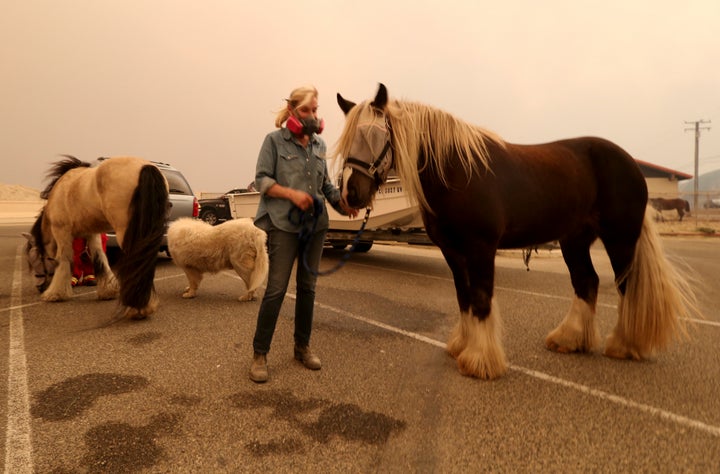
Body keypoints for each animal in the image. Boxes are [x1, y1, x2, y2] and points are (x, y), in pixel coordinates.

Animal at [22, 156, 170, 318]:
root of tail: (145, 167)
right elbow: (100, 258)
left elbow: (63, 260)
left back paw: (137, 308)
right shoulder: (92, 234)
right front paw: (108, 291)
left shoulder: (62, 232)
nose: (40, 288)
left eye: (34, 260)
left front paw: (55, 294)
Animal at [334, 84, 700, 382]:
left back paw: (624, 345)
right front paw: (462, 346)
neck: (457, 171)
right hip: (574, 240)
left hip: (620, 238)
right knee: (587, 281)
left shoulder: (480, 248)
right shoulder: (453, 252)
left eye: (374, 135)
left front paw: (481, 361)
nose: (350, 194)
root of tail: (631, 164)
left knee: (625, 284)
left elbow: (481, 298)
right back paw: (569, 339)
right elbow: (464, 297)